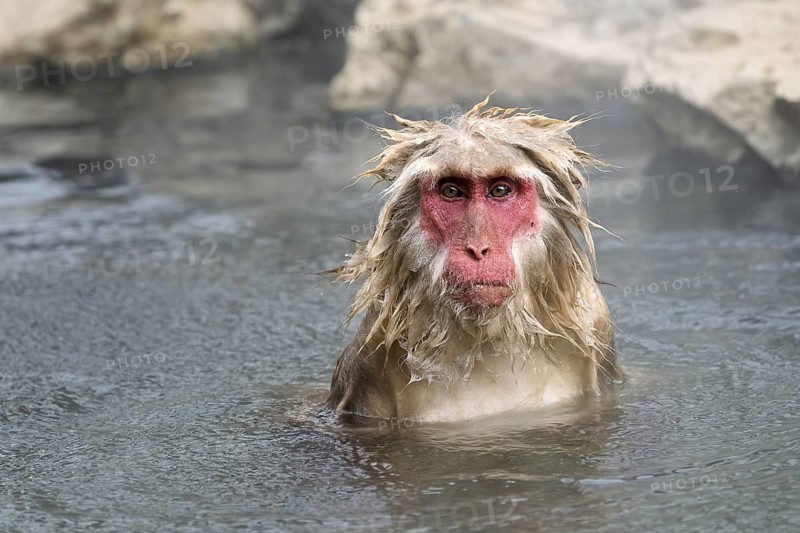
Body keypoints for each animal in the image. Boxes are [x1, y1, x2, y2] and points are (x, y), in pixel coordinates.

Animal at [326, 96, 621, 423]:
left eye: (500, 190)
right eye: (452, 192)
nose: (478, 248)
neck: (487, 338)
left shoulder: (596, 320)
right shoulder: (372, 354)